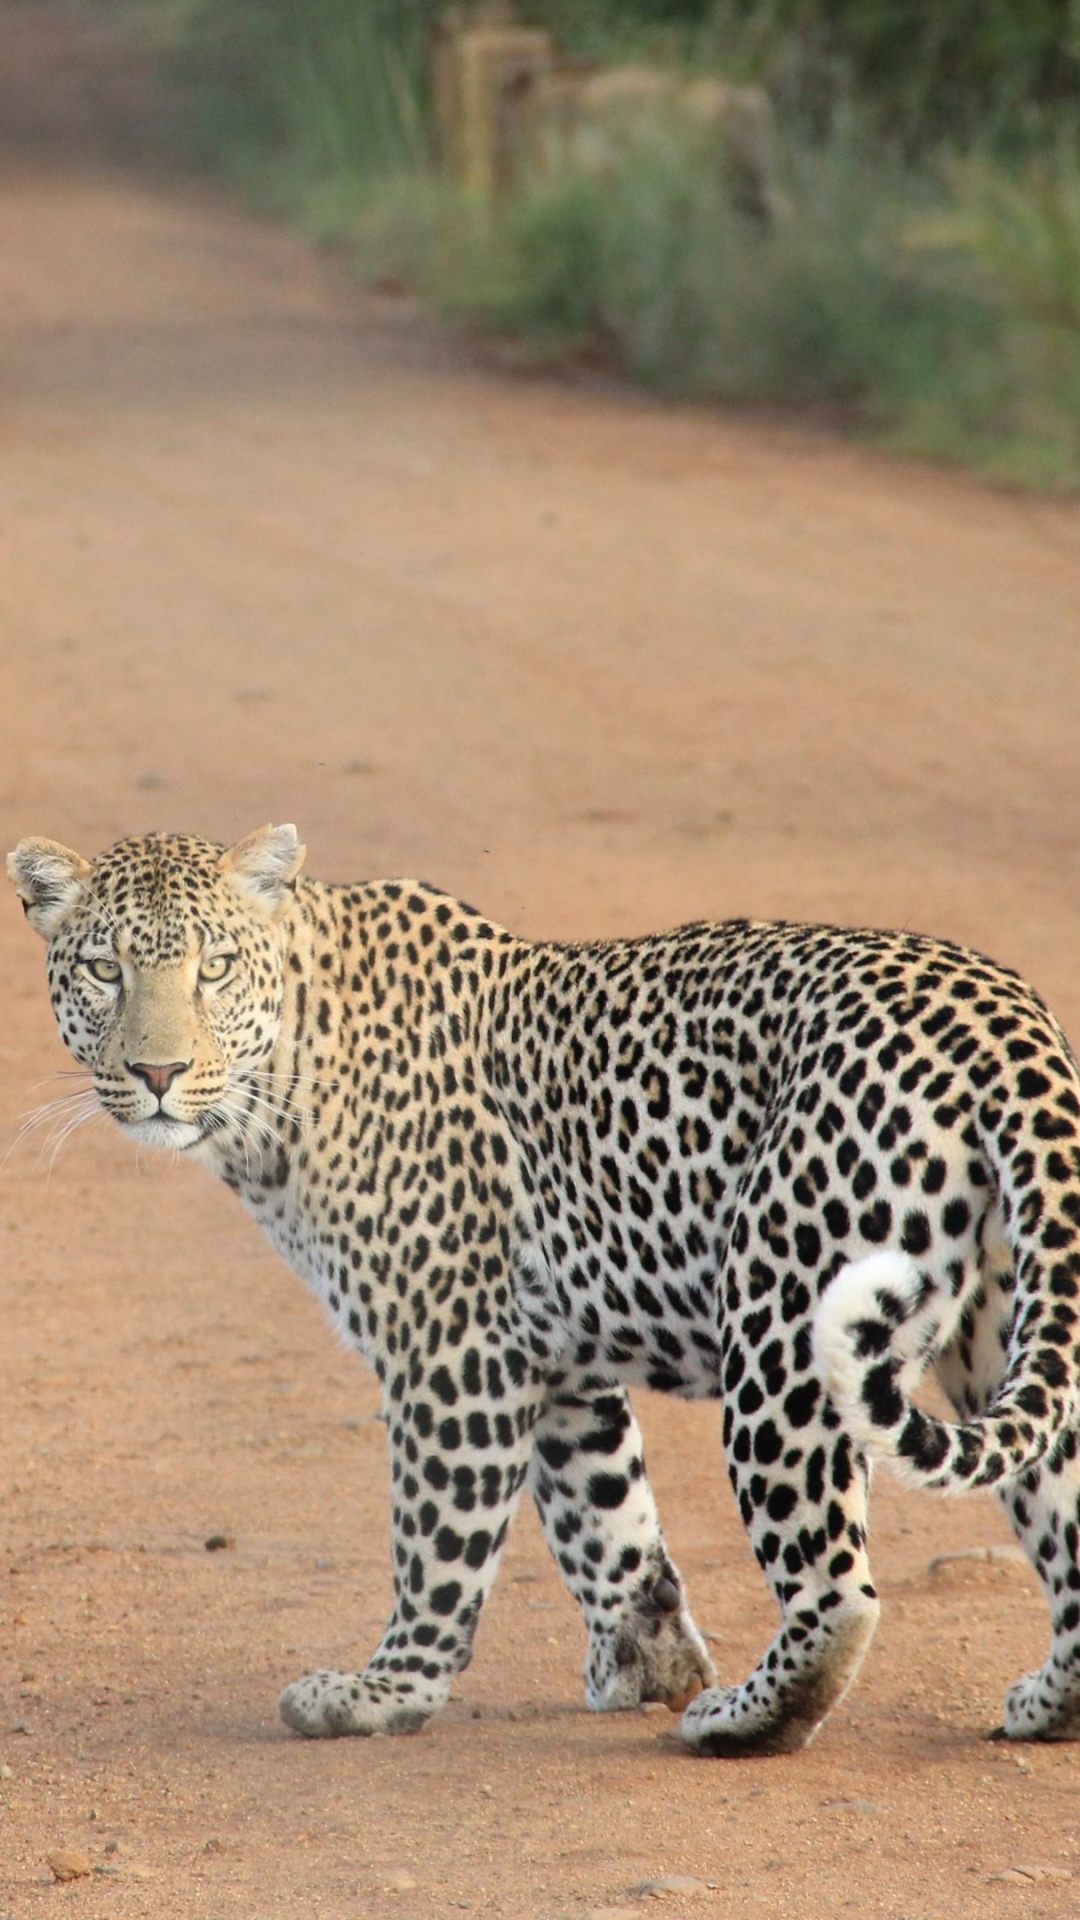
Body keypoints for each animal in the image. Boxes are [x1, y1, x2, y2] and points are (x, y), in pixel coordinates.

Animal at [8, 825, 1076, 1758]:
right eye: (104, 969)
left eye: (215, 967)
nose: (157, 1070)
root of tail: (1004, 1018)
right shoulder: (554, 1356)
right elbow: (606, 1517)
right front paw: (648, 1661)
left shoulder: (453, 1350)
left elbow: (438, 1540)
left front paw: (386, 1690)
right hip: (1004, 1331)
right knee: (1060, 1510)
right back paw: (1048, 1704)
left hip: (784, 1323)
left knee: (837, 1590)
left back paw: (742, 1720)